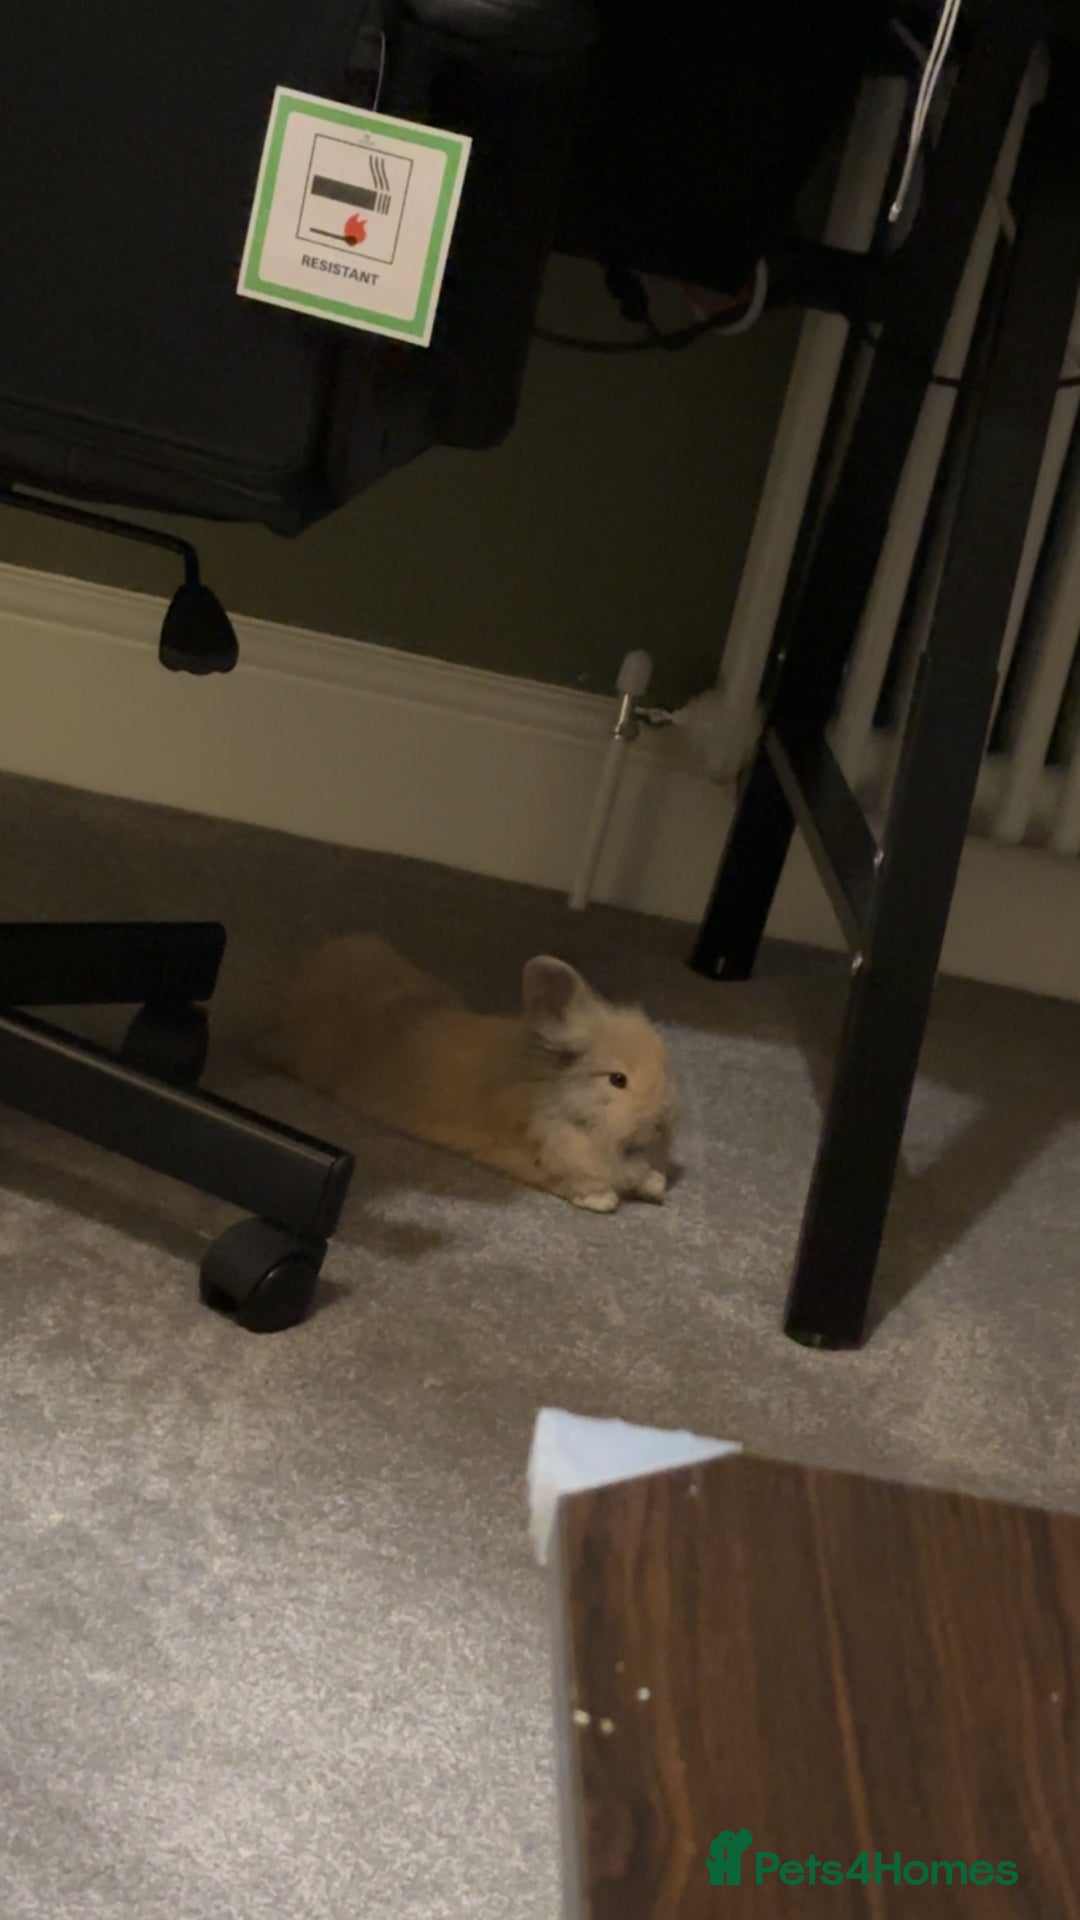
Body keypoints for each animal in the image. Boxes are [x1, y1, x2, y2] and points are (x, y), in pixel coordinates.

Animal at [269, 934, 678, 1211]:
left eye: (665, 1067)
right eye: (618, 1080)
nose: (661, 1122)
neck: (552, 1092)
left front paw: (655, 1183)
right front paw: (604, 1199)